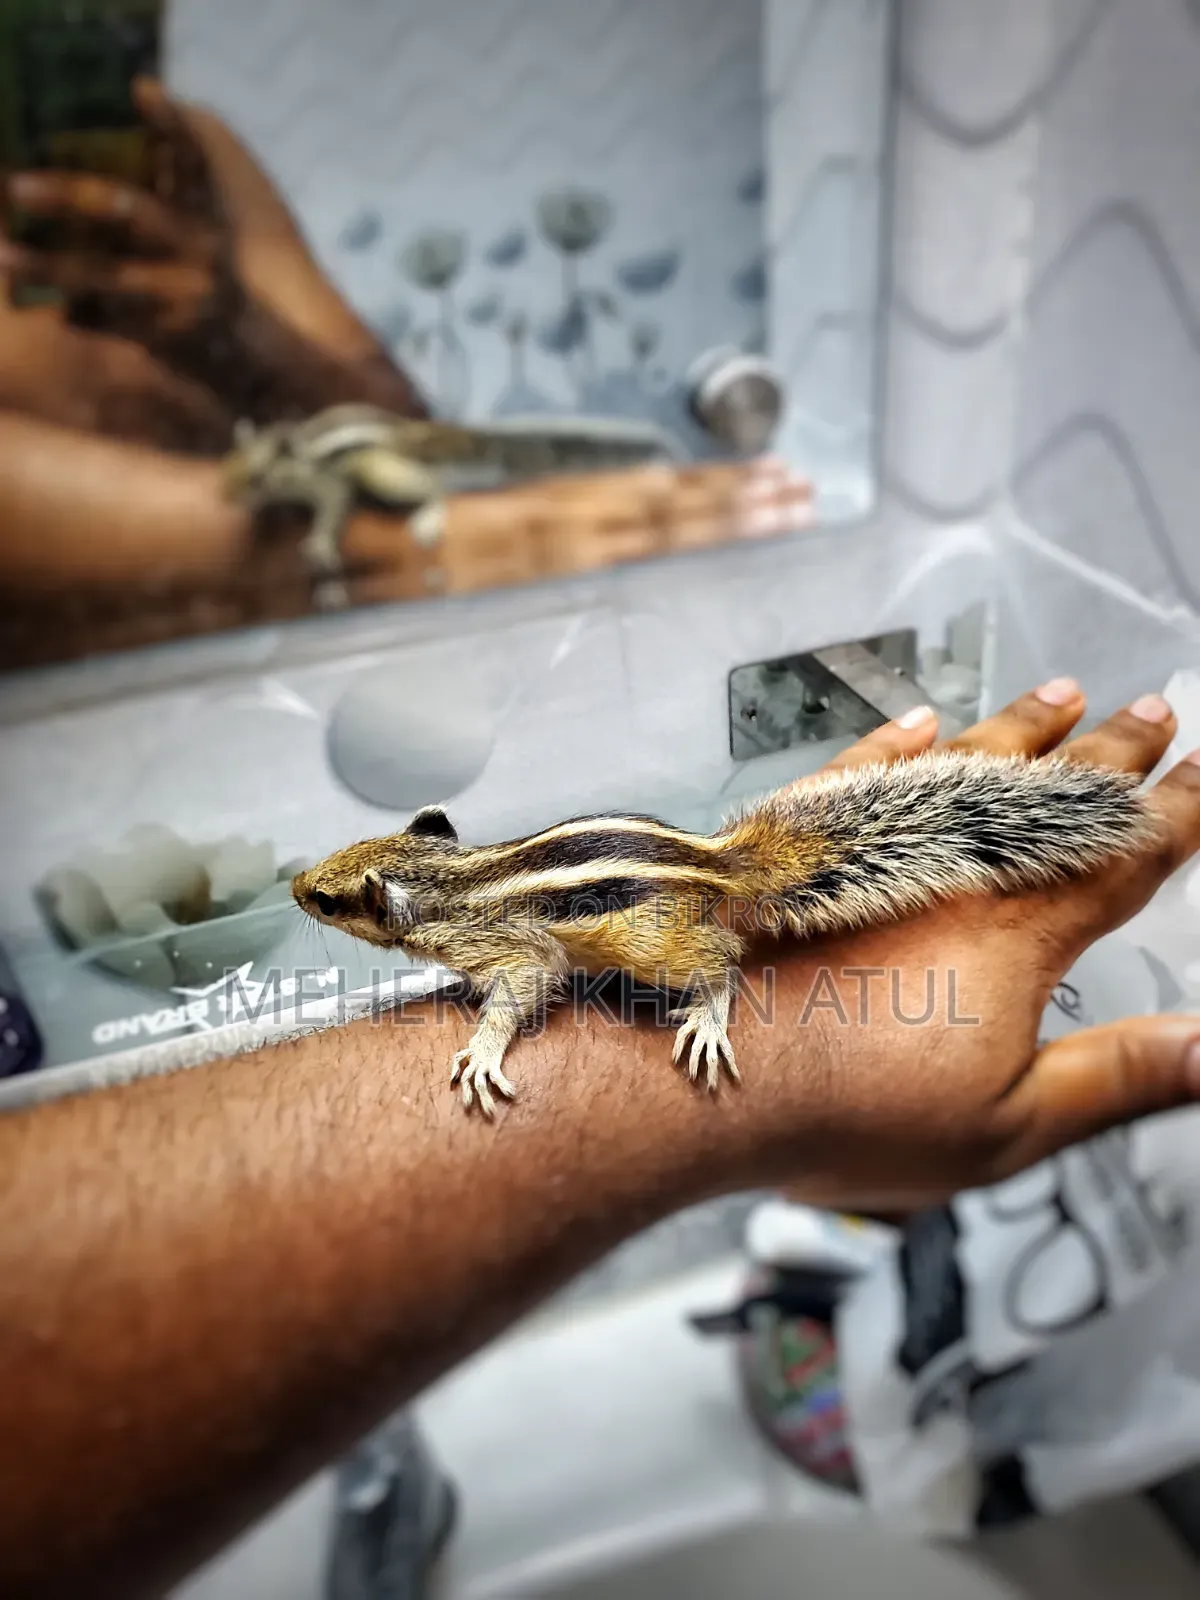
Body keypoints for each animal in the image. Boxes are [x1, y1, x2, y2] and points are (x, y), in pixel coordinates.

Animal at [292, 752, 1153, 1118]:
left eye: (330, 901)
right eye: (334, 860)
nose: (296, 888)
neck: (452, 880)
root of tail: (721, 868)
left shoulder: (518, 949)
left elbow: (524, 989)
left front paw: (480, 1049)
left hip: (656, 946)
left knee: (722, 965)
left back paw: (707, 1017)